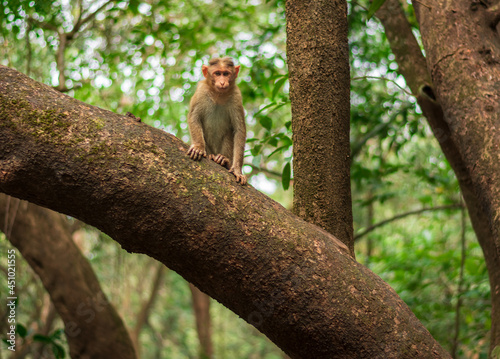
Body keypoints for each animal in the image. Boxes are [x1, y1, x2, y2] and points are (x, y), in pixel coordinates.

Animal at [187, 58, 247, 186]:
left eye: (226, 74)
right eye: (217, 73)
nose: (223, 82)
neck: (218, 95)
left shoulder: (236, 96)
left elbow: (239, 130)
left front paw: (237, 170)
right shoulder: (201, 91)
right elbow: (194, 117)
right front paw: (198, 147)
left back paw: (223, 160)